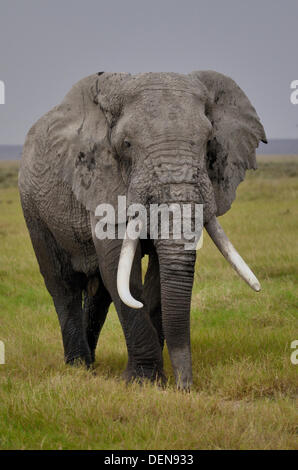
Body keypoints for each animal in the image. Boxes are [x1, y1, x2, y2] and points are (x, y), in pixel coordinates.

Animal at [18, 71, 266, 392]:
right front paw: (143, 382)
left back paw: (92, 364)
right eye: (126, 144)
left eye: (209, 141)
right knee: (63, 284)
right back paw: (79, 368)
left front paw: (156, 383)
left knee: (99, 292)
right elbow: (121, 272)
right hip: (33, 207)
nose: (185, 388)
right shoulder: (103, 182)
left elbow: (158, 275)